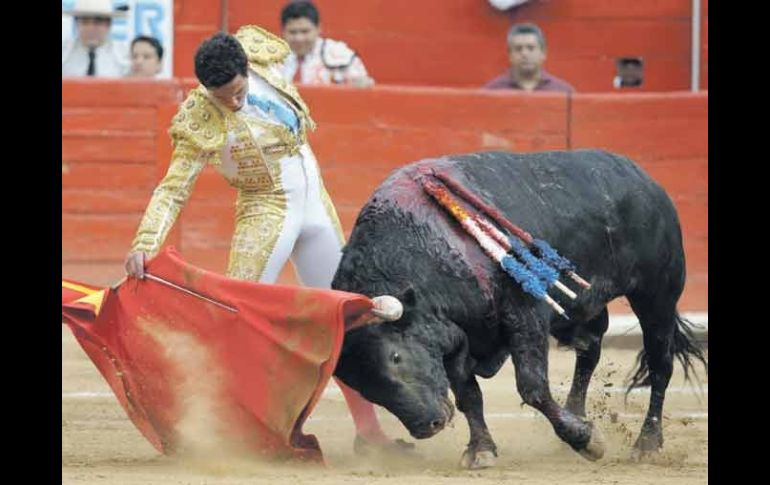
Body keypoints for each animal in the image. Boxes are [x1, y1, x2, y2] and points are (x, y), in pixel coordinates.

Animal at [330, 149, 704, 466]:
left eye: (395, 357)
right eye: (362, 386)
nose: (427, 425)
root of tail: (642, 177)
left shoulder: (525, 314)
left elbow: (532, 386)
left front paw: (586, 441)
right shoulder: (458, 335)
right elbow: (469, 395)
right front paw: (481, 450)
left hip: (657, 295)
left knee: (660, 364)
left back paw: (646, 444)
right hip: (580, 308)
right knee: (589, 351)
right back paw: (579, 416)